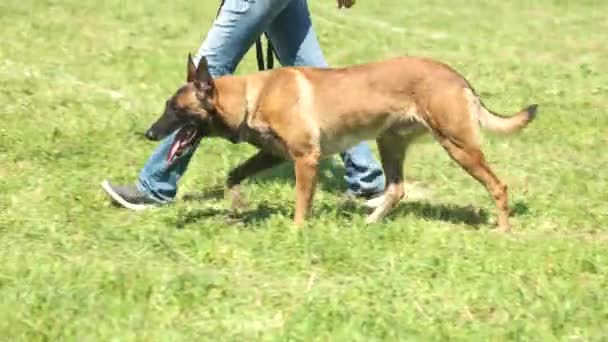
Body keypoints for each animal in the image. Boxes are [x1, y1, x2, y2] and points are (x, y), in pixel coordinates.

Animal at [144, 54, 536, 231]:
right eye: (166, 106)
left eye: (176, 110)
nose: (149, 134)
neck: (252, 96)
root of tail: (458, 77)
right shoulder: (273, 154)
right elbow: (234, 175)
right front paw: (237, 205)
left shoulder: (306, 158)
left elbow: (301, 203)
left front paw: (296, 232)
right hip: (389, 142)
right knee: (396, 188)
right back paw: (371, 222)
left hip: (458, 145)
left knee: (498, 186)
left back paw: (502, 230)